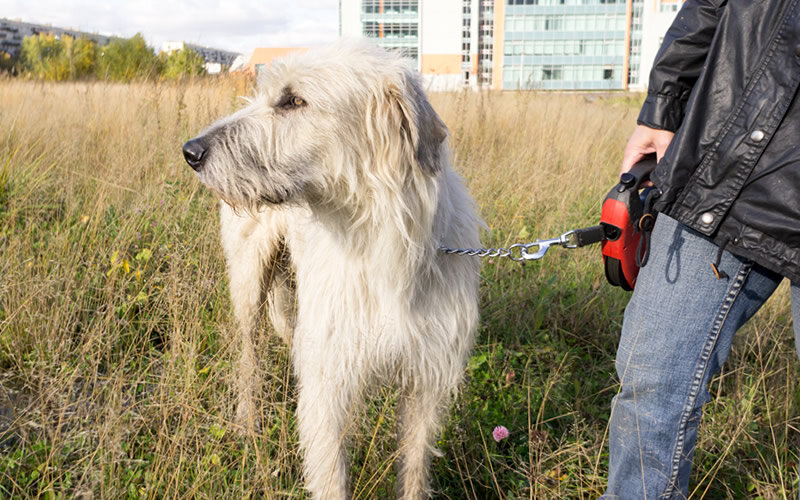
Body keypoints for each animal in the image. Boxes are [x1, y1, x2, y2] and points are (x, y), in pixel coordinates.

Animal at [183, 41, 482, 498]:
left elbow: (414, 468)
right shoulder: (328, 387)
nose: (191, 152)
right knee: (249, 353)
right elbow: (331, 478)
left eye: (293, 101)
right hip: (249, 281)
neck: (380, 245)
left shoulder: (426, 381)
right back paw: (247, 423)